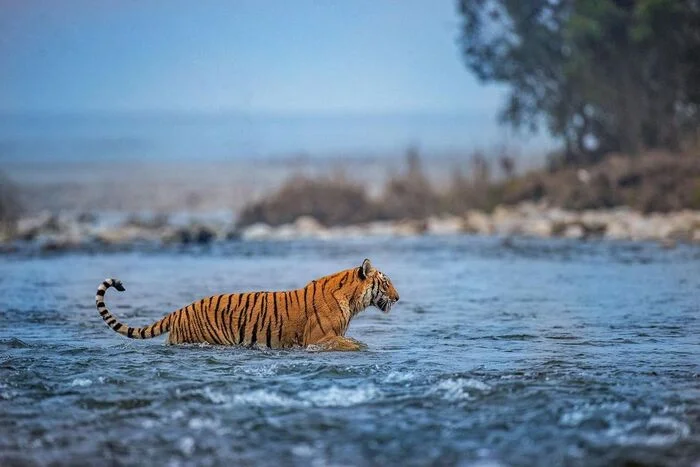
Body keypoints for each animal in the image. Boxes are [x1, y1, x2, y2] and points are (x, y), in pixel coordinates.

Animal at [93, 260, 400, 352]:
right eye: (386, 283)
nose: (398, 298)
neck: (352, 300)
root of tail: (181, 309)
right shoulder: (318, 338)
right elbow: (351, 344)